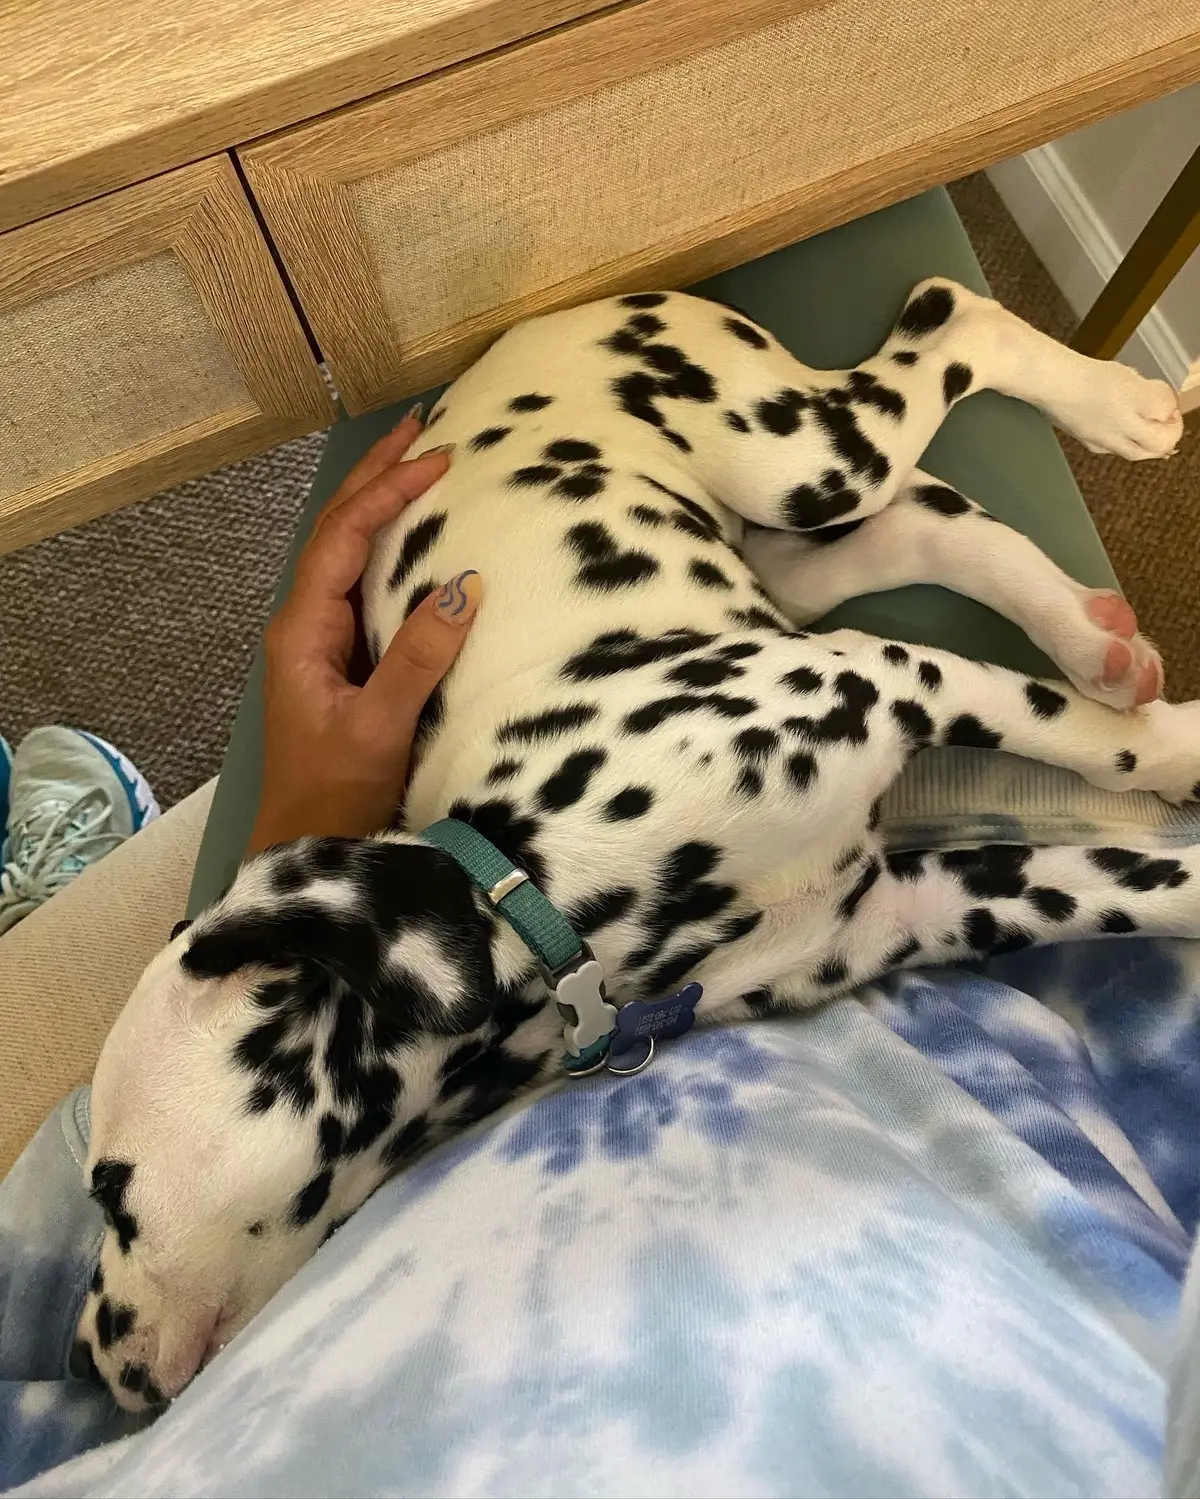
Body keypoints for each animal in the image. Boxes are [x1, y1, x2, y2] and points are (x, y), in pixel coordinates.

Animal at [72, 278, 1186, 1403]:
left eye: (111, 1191)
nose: (78, 1361)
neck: (541, 877)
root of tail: (536, 327)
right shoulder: (929, 902)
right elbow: (1150, 874)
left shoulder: (891, 680)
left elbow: (1103, 748)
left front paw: (1175, 750)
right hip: (789, 554)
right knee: (919, 520)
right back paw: (1092, 632)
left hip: (806, 458)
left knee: (949, 321)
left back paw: (1117, 410)